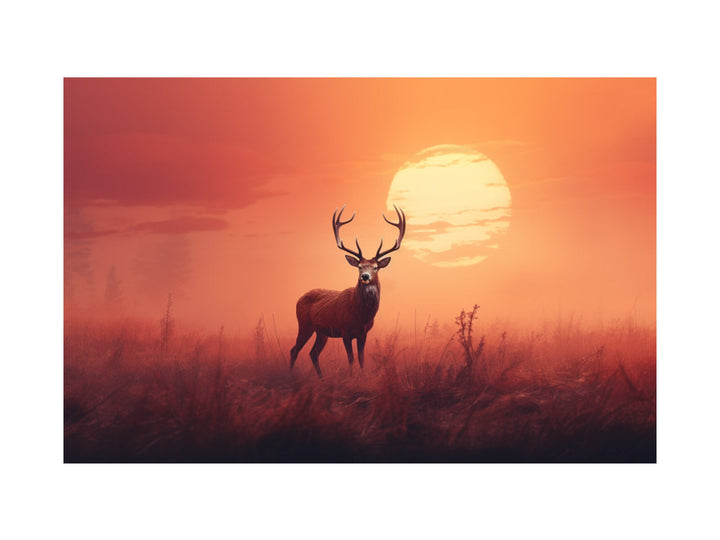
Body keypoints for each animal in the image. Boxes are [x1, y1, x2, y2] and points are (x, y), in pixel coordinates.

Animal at [290, 204, 406, 378]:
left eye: (375, 267)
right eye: (359, 267)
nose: (365, 276)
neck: (360, 314)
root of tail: (299, 298)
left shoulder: (363, 333)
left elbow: (361, 359)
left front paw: (362, 377)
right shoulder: (345, 330)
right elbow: (351, 359)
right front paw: (352, 378)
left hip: (322, 332)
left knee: (313, 353)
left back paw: (321, 378)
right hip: (304, 324)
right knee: (294, 350)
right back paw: (290, 375)